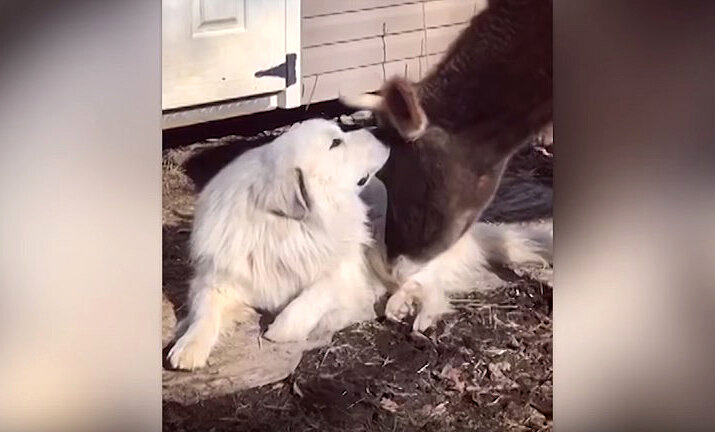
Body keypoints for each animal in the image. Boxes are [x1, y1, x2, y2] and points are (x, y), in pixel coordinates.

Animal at [168, 119, 392, 372]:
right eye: (335, 143)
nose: (385, 131)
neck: (285, 227)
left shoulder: (346, 270)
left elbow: (313, 295)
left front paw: (279, 330)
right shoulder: (217, 278)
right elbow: (204, 311)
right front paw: (189, 345)